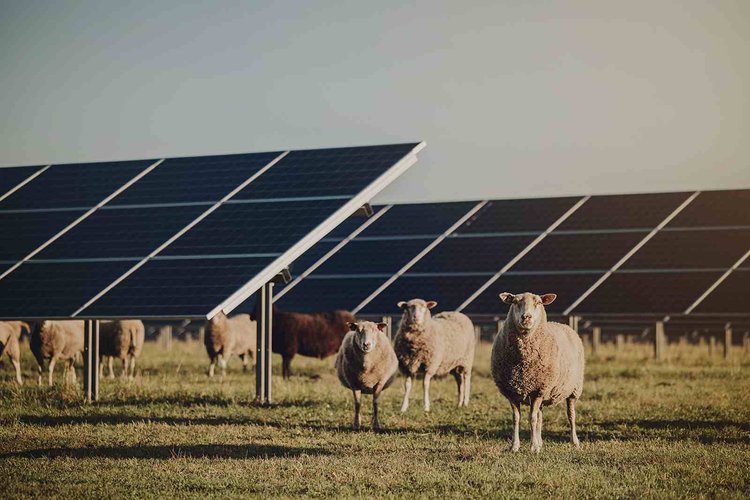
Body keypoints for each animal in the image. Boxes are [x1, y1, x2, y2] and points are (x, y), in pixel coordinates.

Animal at [490, 292, 592, 454]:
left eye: (538, 302)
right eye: (515, 302)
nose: (526, 317)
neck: (523, 364)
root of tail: (563, 325)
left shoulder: (538, 389)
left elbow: (532, 418)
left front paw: (533, 447)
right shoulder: (512, 392)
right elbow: (516, 418)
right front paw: (515, 446)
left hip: (574, 389)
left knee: (571, 415)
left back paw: (574, 441)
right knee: (540, 416)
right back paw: (540, 442)